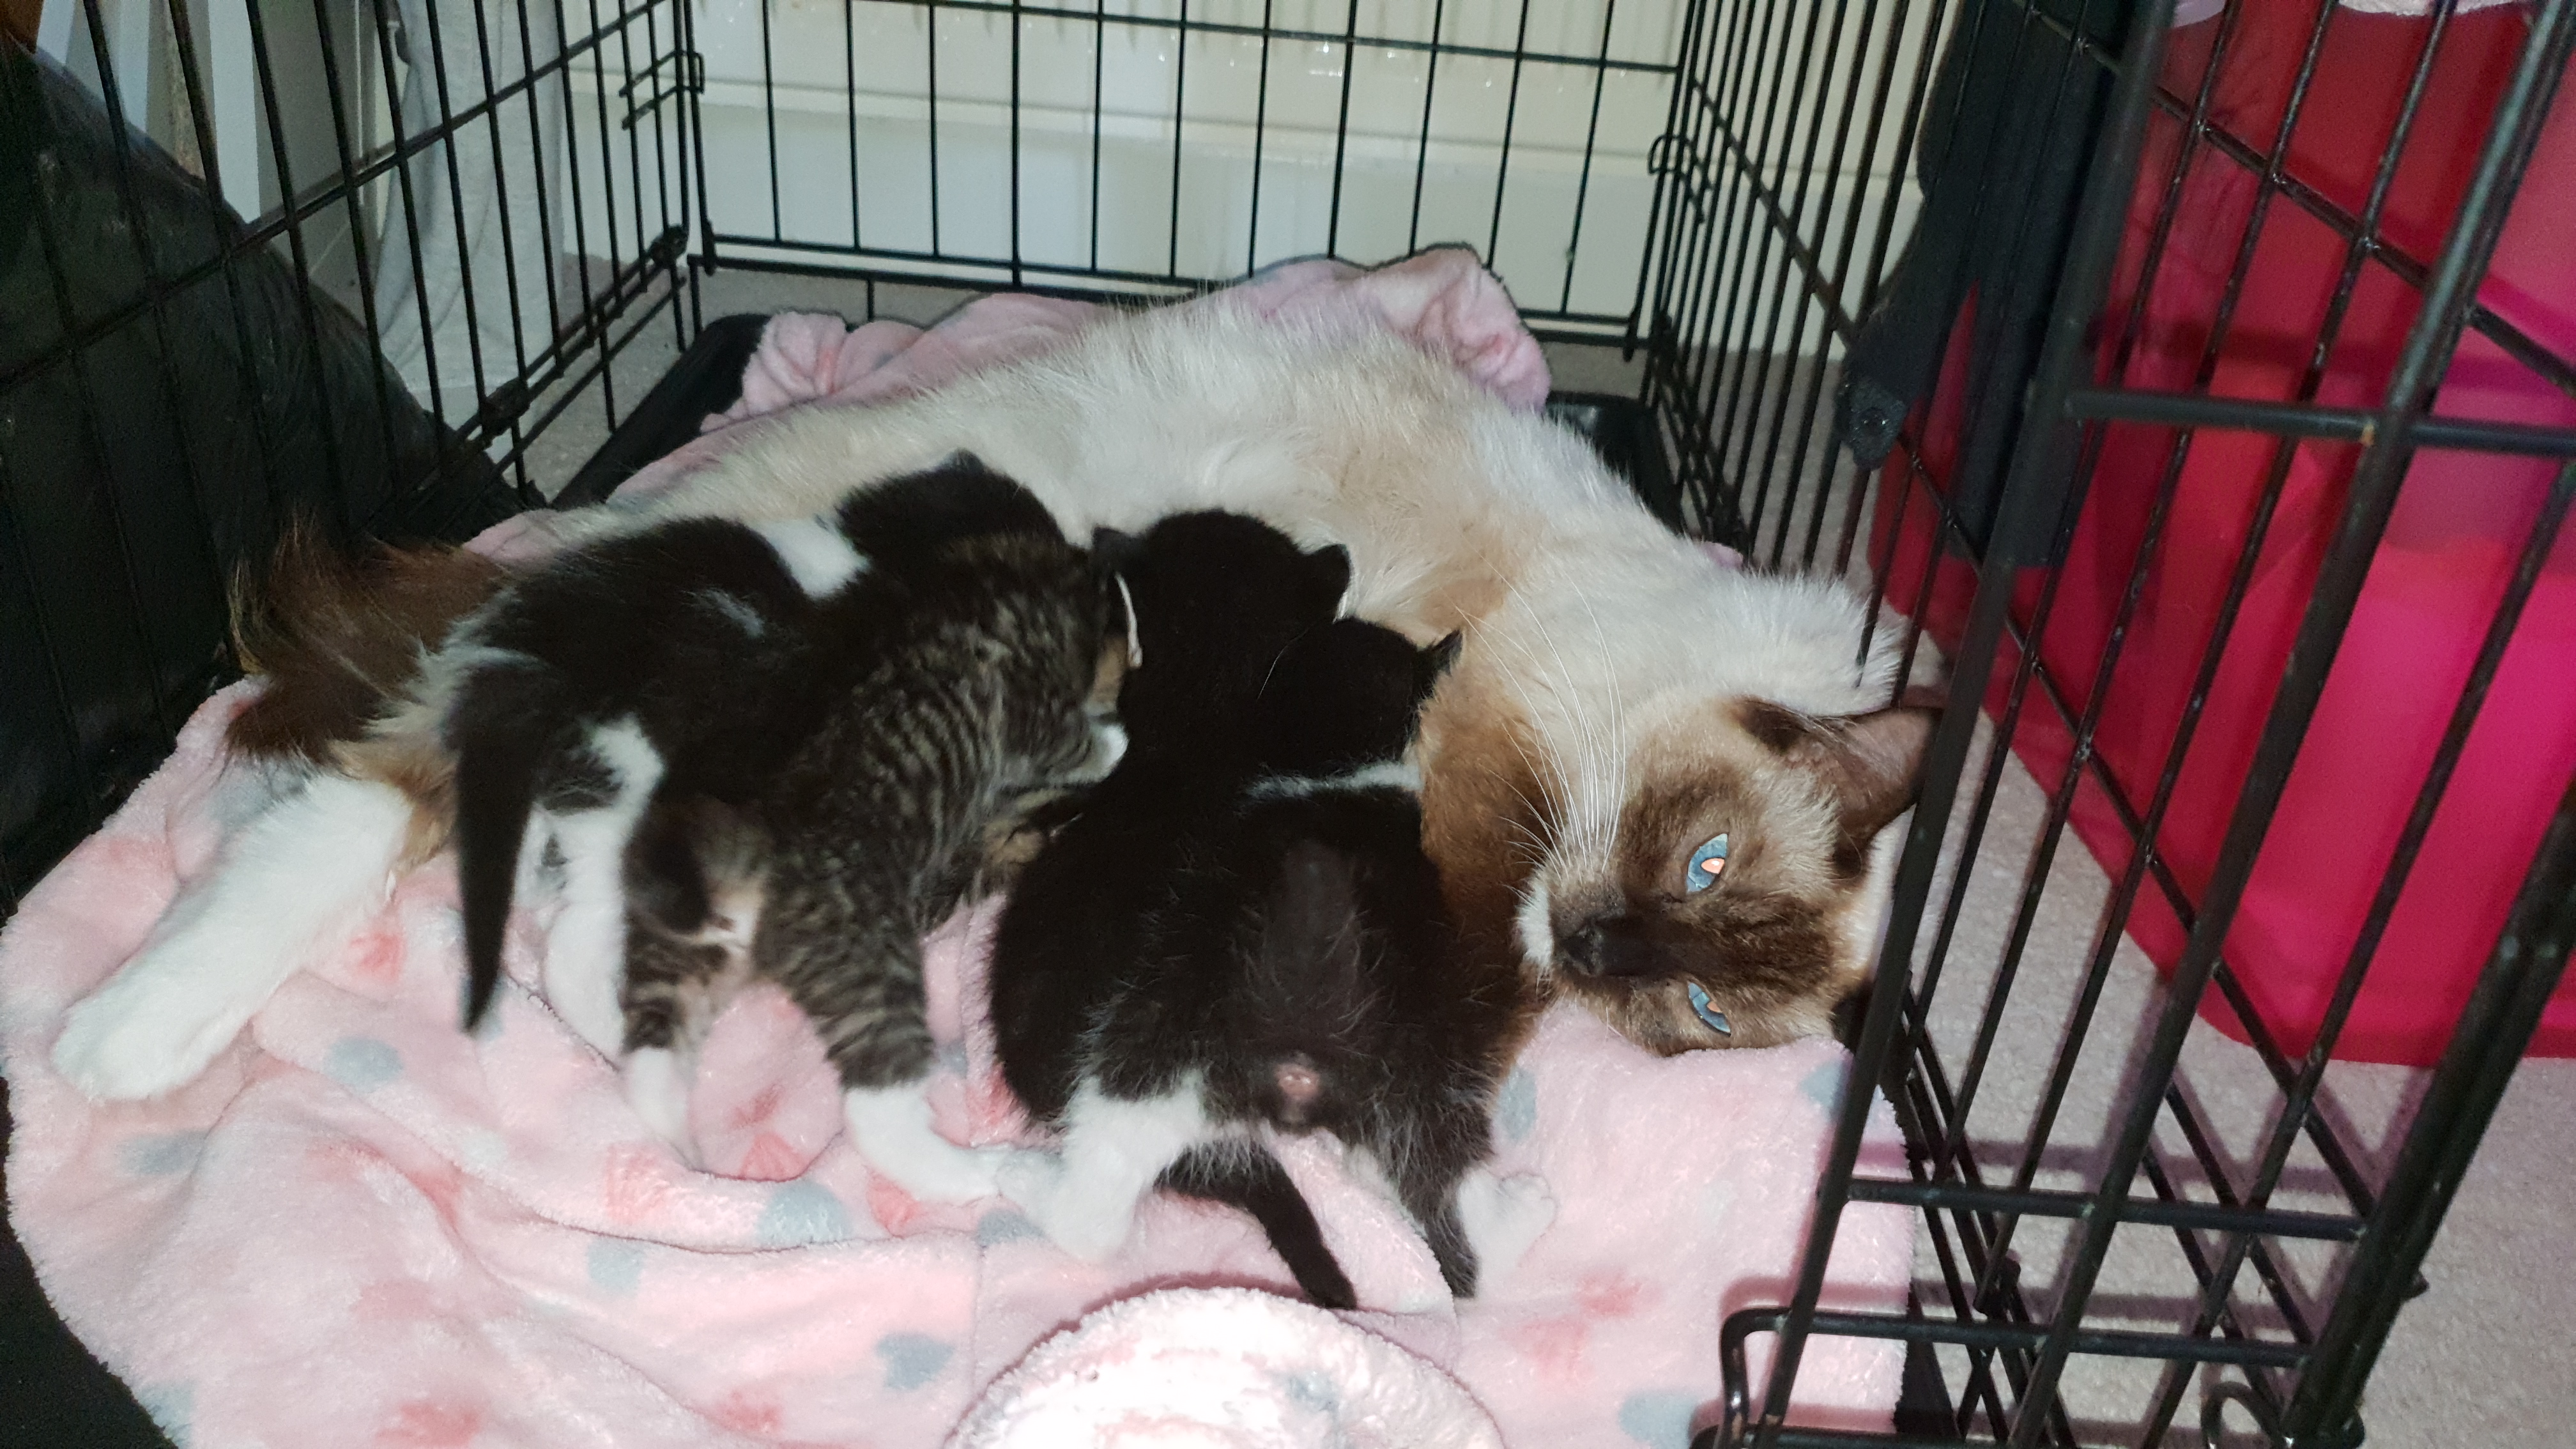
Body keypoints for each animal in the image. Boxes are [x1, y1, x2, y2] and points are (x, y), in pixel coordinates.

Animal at [57, 296, 1932, 1100]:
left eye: (1700, 1009)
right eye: (1703, 859)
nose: (1611, 950)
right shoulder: (1488, 747)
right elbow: (1478, 936)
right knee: (374, 792)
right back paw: (127, 1032)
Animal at [988, 511, 1543, 1308]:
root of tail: (1303, 1057)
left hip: (1161, 1042)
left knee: (1092, 1216)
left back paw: (1024, 1180)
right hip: (1420, 1058)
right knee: (1451, 1194)